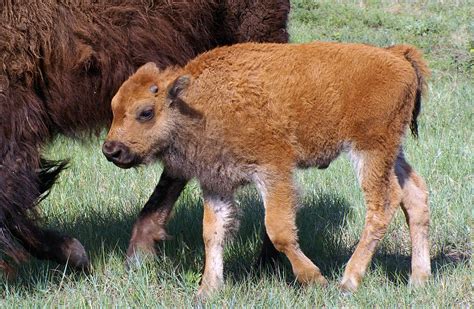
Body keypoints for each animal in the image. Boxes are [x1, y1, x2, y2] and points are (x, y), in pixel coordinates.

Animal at [105, 42, 432, 294]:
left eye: (146, 112)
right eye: (114, 107)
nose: (111, 149)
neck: (199, 101)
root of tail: (396, 56)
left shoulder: (273, 172)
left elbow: (279, 230)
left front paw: (314, 279)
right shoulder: (217, 183)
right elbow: (212, 232)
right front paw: (207, 290)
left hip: (370, 150)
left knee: (383, 203)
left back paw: (348, 281)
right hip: (392, 151)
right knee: (414, 194)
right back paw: (418, 279)